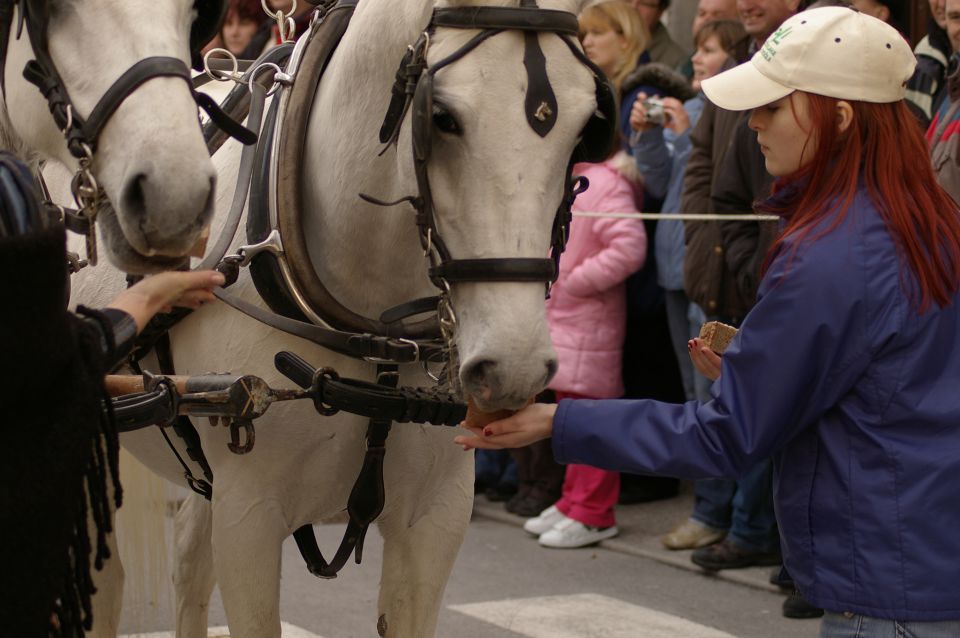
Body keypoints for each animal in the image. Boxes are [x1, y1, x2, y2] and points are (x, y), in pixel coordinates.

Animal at [71, 0, 604, 636]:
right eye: (442, 117)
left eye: (586, 126)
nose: (515, 365)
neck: (376, 338)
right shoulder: (248, 517)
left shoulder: (438, 517)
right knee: (107, 583)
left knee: (188, 566)